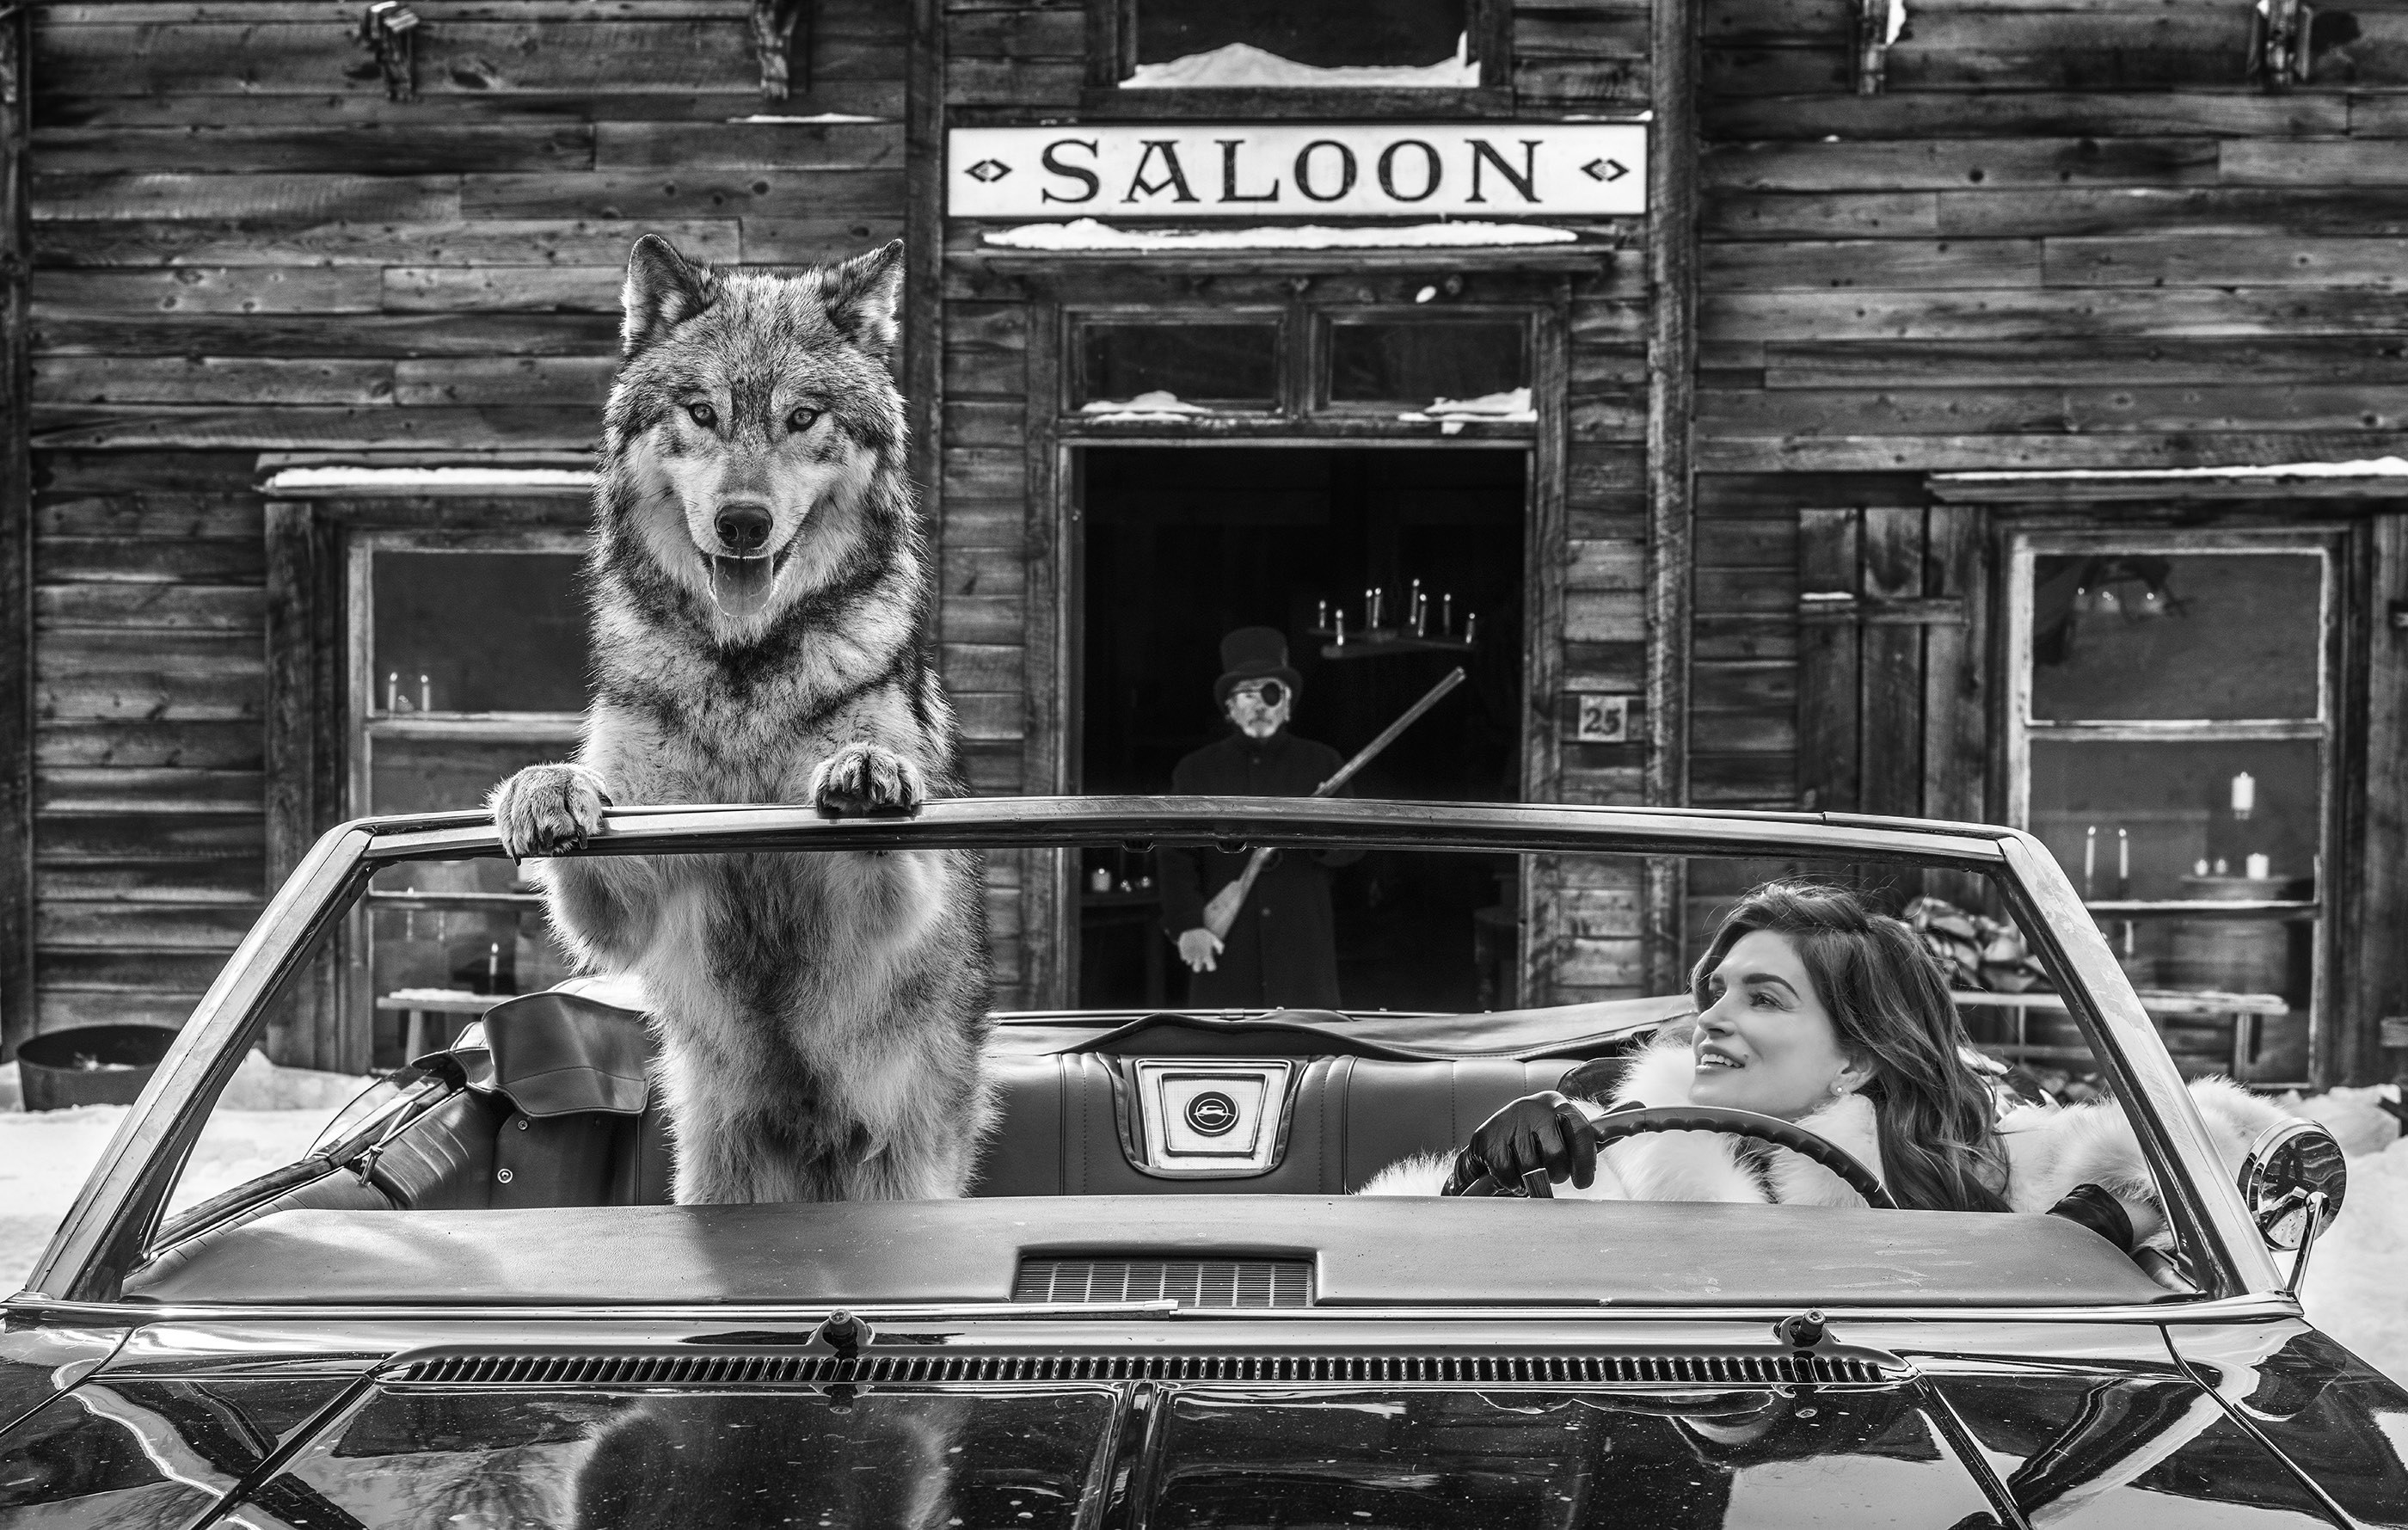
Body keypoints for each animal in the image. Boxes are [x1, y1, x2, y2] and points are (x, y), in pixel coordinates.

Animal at [491, 233, 997, 1204]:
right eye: (702, 413)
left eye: (802, 418)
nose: (742, 523)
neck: (743, 676)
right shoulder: (630, 895)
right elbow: (586, 814)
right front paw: (545, 789)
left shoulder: (881, 910)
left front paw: (867, 771)